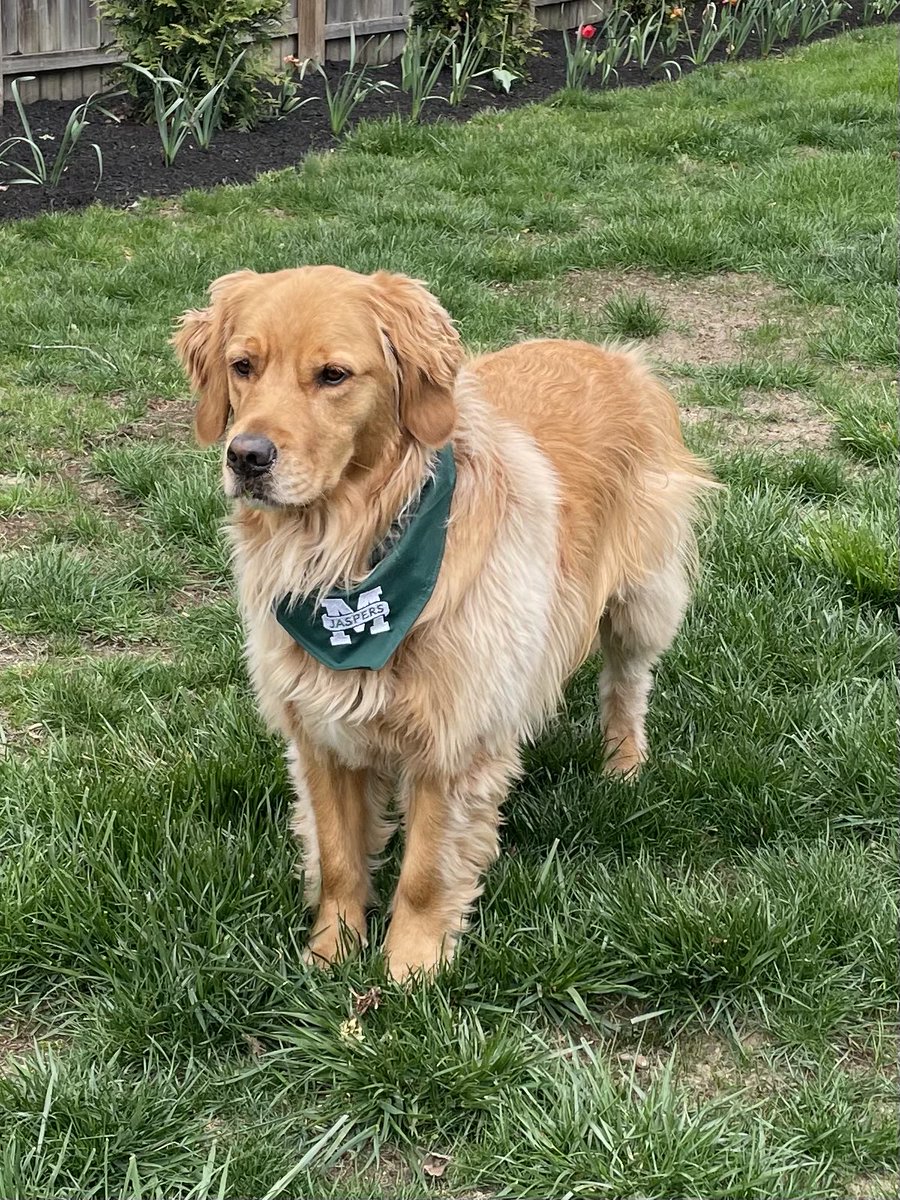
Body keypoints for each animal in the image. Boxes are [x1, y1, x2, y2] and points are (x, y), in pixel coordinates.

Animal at [172, 267, 715, 979]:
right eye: (243, 366)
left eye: (333, 375)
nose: (246, 457)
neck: (350, 556)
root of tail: (611, 354)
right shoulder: (318, 730)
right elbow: (339, 858)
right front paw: (331, 954)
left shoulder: (452, 742)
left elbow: (426, 873)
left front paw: (410, 971)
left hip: (640, 600)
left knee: (625, 685)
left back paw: (622, 763)